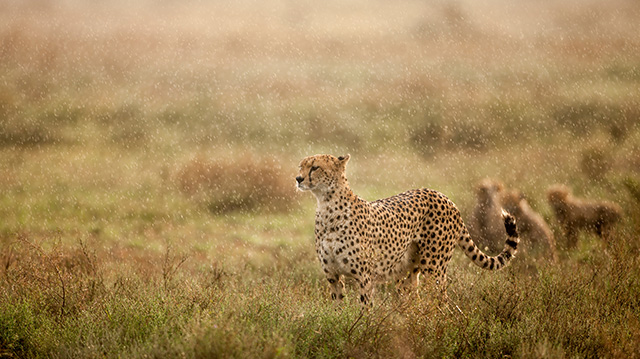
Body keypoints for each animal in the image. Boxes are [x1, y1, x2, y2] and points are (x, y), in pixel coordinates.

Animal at [296, 155, 520, 306]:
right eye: (301, 166)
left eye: (315, 167)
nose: (298, 179)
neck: (326, 205)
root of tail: (443, 196)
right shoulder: (333, 276)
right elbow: (338, 308)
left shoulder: (365, 277)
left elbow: (365, 310)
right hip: (407, 273)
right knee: (414, 300)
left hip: (434, 267)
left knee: (441, 302)